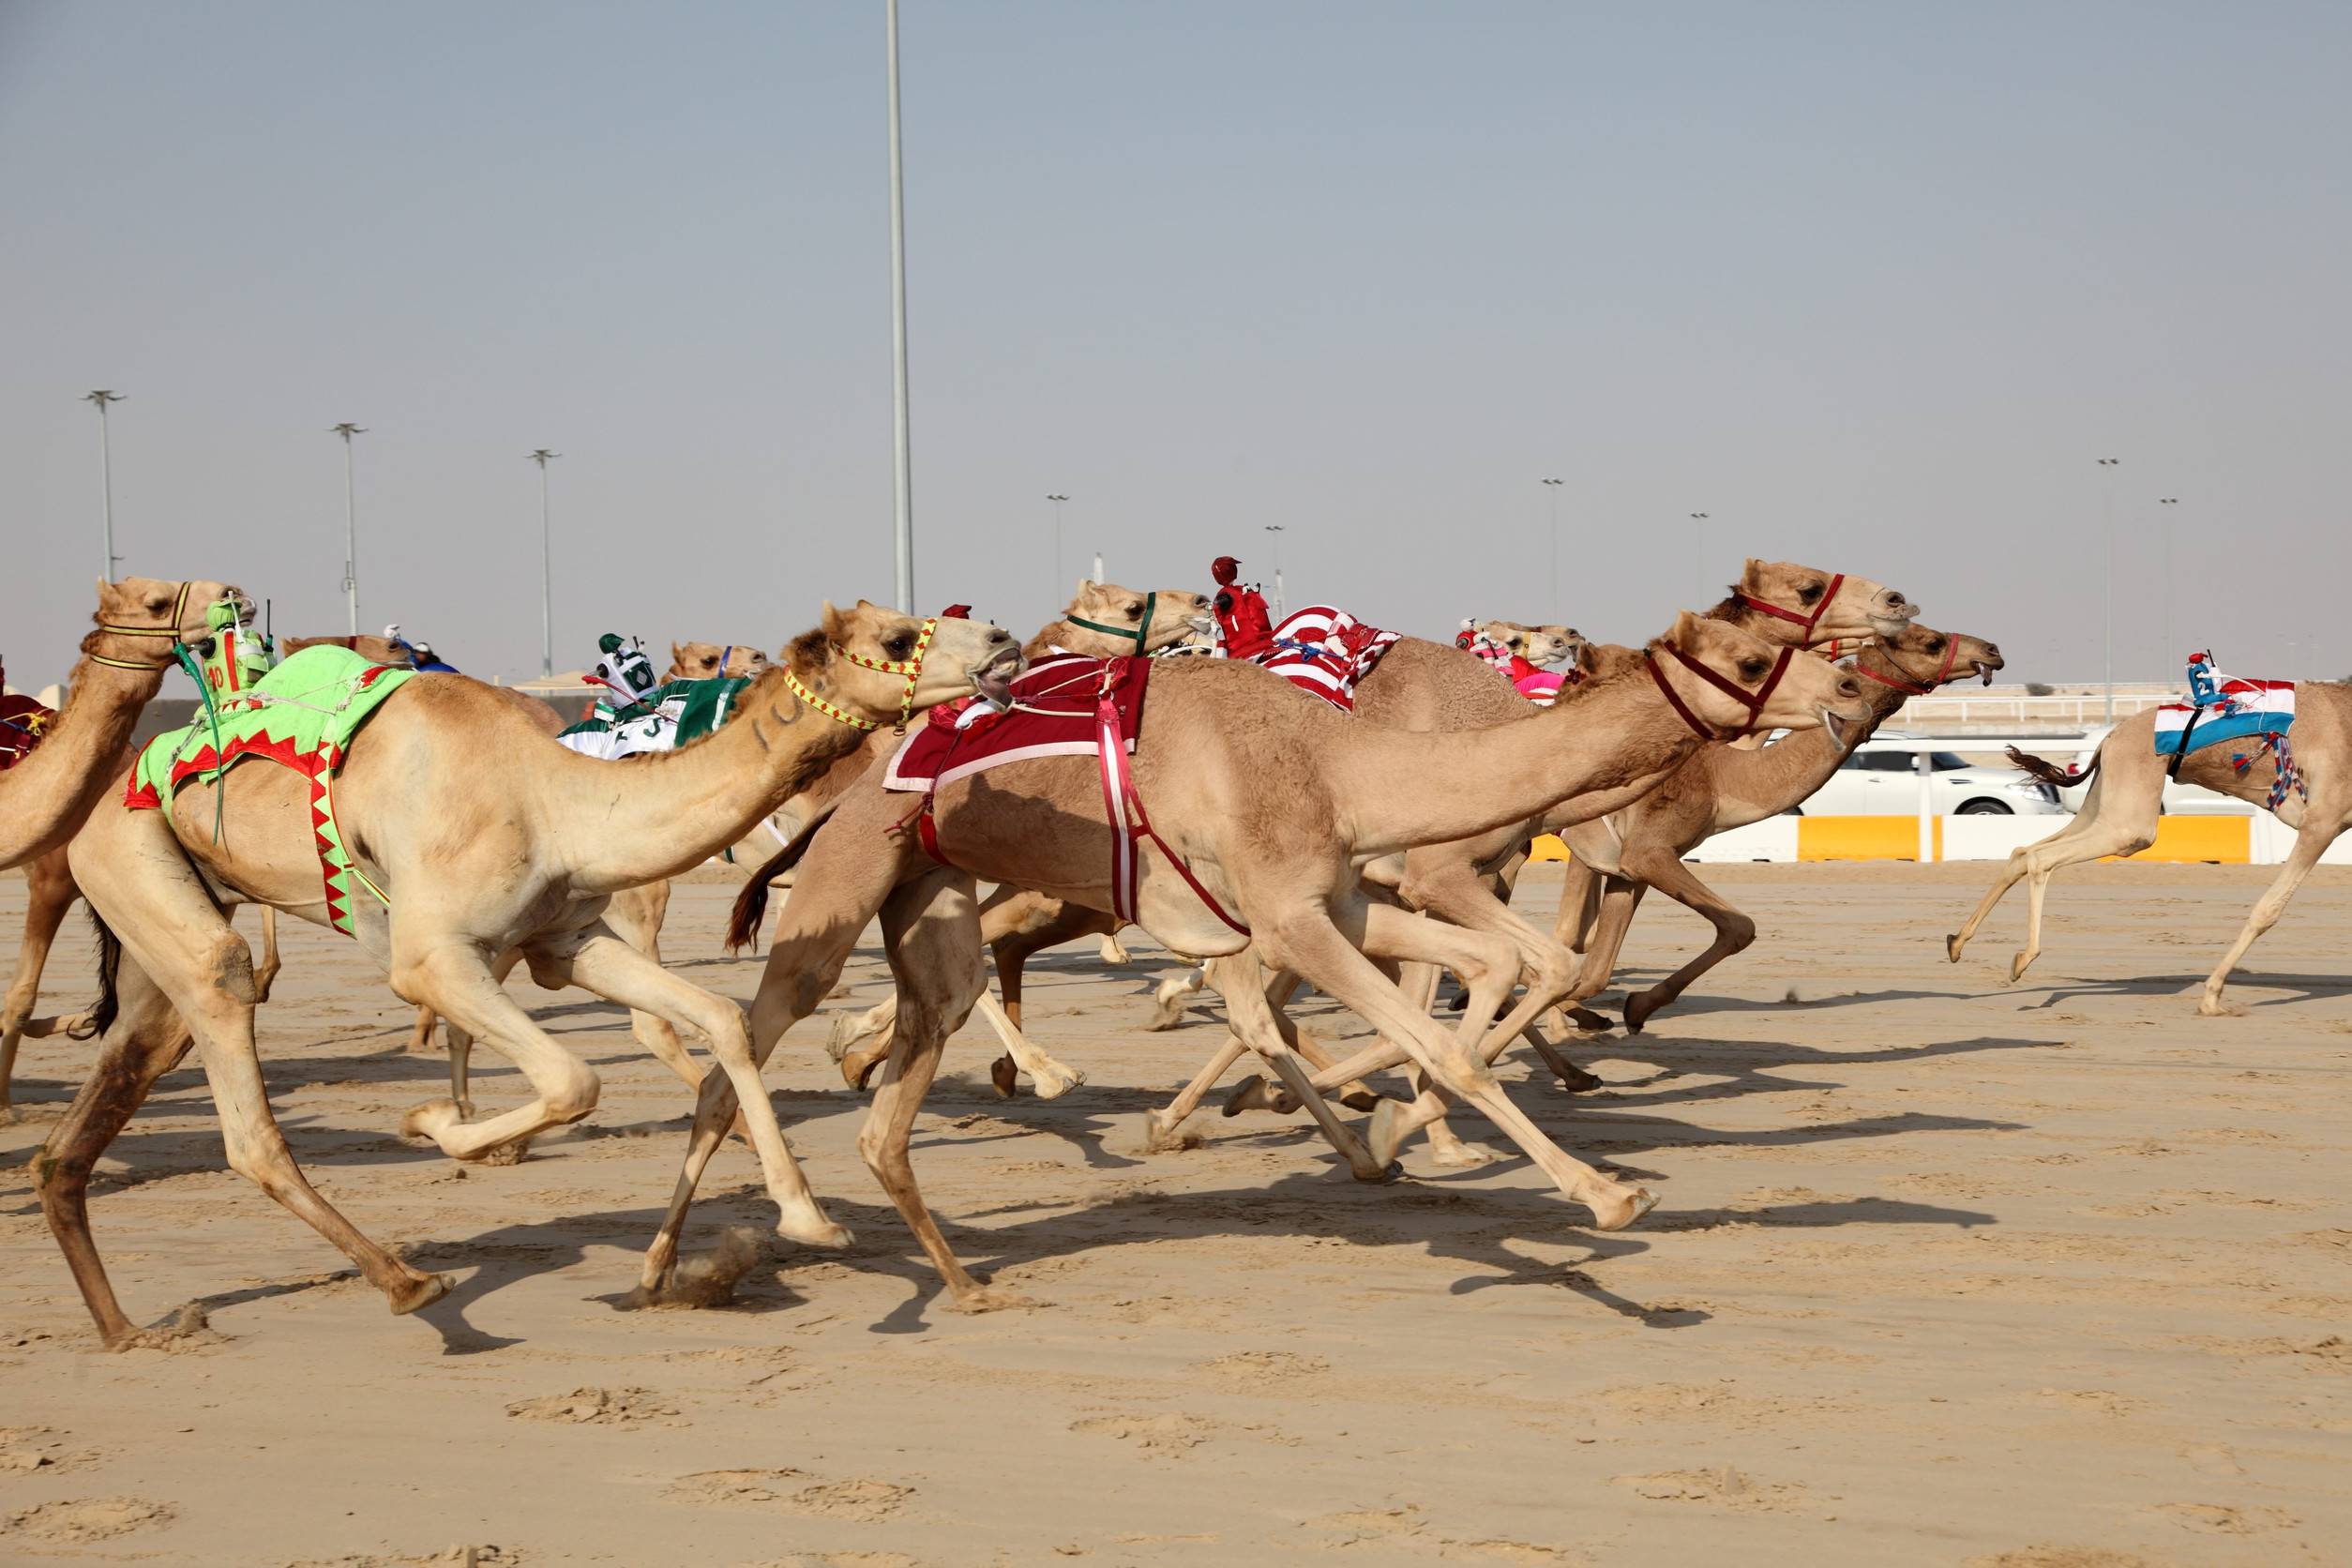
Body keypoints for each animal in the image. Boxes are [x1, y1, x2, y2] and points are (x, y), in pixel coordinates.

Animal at [36, 603, 1019, 1346]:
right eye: (898, 634)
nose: (1004, 640)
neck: (555, 799)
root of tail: (105, 796)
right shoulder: (431, 957)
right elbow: (573, 1079)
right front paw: (438, 1127)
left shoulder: (566, 938)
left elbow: (722, 1019)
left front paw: (808, 1216)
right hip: (130, 859)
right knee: (240, 1077)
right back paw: (411, 1283)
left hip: (162, 925)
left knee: (105, 1099)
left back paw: (129, 1327)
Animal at [663, 611, 1868, 1312]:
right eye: (1754, 655)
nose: (1851, 689)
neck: (1341, 761)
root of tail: (842, 783)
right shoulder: (1291, 919)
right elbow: (1448, 1040)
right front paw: (1606, 1195)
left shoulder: (1343, 900)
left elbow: (1486, 968)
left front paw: (1388, 1130)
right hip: (845, 887)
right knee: (748, 1051)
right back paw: (688, 1260)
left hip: (933, 900)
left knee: (897, 1092)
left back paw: (960, 1275)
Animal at [1550, 622, 2003, 1033]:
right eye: (1933, 642)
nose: (1993, 650)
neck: (1720, 777)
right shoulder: (1649, 850)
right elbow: (1739, 927)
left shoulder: (1629, 863)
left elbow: (1596, 968)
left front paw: (1620, 1010)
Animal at [1947, 686, 2352, 1014]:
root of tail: (2109, 738)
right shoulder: (2321, 823)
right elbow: (2268, 910)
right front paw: (2211, 998)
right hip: (2130, 820)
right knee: (2041, 857)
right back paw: (2021, 959)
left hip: (2105, 802)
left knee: (2021, 851)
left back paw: (1956, 942)